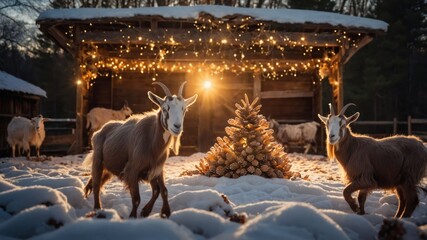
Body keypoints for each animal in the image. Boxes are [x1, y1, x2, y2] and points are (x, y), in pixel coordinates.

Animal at [83, 81, 199, 218]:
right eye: (165, 109)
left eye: (184, 109)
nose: (177, 127)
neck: (151, 142)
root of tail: (99, 132)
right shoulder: (132, 170)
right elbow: (136, 198)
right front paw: (133, 216)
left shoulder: (156, 169)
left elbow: (161, 190)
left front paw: (156, 212)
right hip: (98, 162)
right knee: (96, 184)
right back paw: (97, 209)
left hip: (108, 168)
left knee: (98, 183)